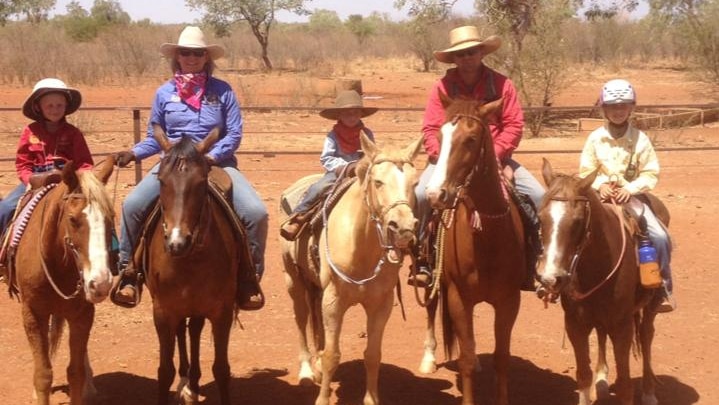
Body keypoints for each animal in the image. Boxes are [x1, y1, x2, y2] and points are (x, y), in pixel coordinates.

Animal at [11, 158, 116, 404]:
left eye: (110, 218)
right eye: (73, 219)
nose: (100, 283)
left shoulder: (82, 314)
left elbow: (75, 372)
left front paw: (84, 383)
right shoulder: (32, 314)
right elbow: (43, 374)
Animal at [143, 127, 242, 404]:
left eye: (200, 183)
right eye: (161, 181)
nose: (177, 242)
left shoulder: (222, 311)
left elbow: (222, 369)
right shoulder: (162, 311)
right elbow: (164, 371)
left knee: (194, 330)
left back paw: (193, 382)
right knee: (182, 331)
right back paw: (187, 380)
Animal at [278, 135, 422, 404]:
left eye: (415, 182)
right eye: (378, 182)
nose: (403, 227)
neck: (361, 247)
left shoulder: (381, 304)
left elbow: (373, 355)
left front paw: (371, 399)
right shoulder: (334, 301)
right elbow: (332, 355)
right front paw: (322, 399)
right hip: (293, 279)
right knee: (301, 319)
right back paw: (306, 372)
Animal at [424, 94, 524, 404]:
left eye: (470, 140)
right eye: (439, 137)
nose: (435, 195)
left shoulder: (509, 301)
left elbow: (501, 359)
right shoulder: (459, 298)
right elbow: (465, 359)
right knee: (431, 307)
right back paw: (428, 358)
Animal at [536, 158, 668, 404]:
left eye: (578, 221)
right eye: (540, 218)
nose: (550, 277)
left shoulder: (622, 327)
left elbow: (625, 385)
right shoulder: (575, 324)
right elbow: (583, 375)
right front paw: (595, 380)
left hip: (650, 306)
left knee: (646, 336)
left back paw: (648, 393)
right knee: (601, 333)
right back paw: (602, 379)